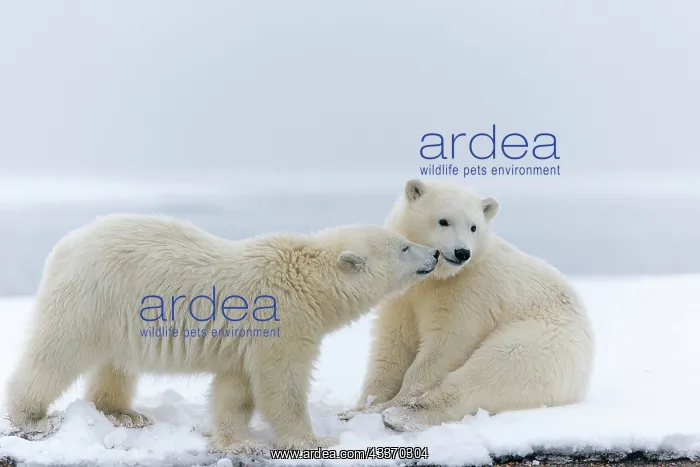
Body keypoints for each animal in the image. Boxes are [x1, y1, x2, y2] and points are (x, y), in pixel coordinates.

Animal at [4, 213, 440, 453]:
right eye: (404, 247)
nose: (435, 253)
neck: (304, 280)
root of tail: (63, 247)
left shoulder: (245, 343)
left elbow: (236, 389)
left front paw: (236, 441)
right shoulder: (281, 320)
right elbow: (281, 384)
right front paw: (314, 441)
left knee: (115, 364)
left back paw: (125, 414)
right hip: (92, 299)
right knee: (56, 354)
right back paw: (33, 418)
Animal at [338, 179, 595, 432]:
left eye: (474, 227)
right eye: (443, 221)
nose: (462, 252)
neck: (438, 278)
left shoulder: (469, 292)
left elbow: (447, 343)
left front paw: (390, 403)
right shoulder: (404, 295)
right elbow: (393, 343)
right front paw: (359, 408)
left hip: (541, 341)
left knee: (490, 372)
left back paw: (401, 415)